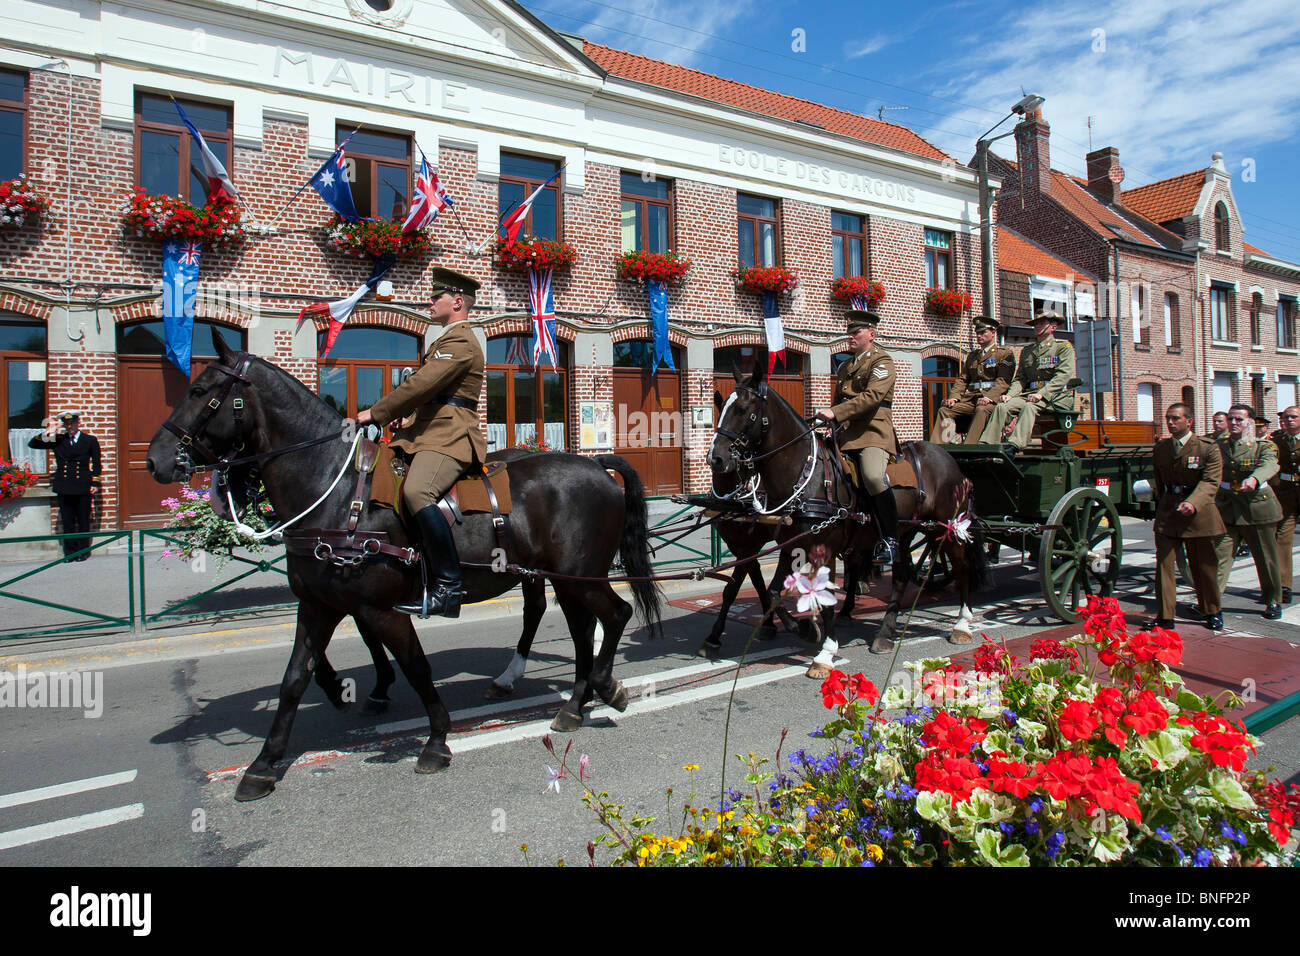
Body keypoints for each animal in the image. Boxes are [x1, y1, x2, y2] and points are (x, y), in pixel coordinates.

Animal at [144, 335, 660, 801]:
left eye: (200, 390)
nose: (155, 460)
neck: (336, 494)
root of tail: (594, 465)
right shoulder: (317, 605)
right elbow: (295, 679)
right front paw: (264, 764)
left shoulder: (380, 609)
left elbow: (415, 666)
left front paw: (434, 739)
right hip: (562, 579)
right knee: (579, 627)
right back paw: (573, 701)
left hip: (582, 575)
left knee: (614, 615)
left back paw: (601, 687)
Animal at [707, 366, 987, 671]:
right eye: (723, 407)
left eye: (744, 409)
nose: (716, 458)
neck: (806, 474)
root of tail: (948, 458)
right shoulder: (790, 546)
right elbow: (773, 593)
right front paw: (806, 630)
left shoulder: (823, 549)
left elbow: (824, 599)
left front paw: (825, 653)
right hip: (903, 532)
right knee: (901, 576)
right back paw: (885, 633)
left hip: (945, 528)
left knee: (960, 567)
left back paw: (962, 623)